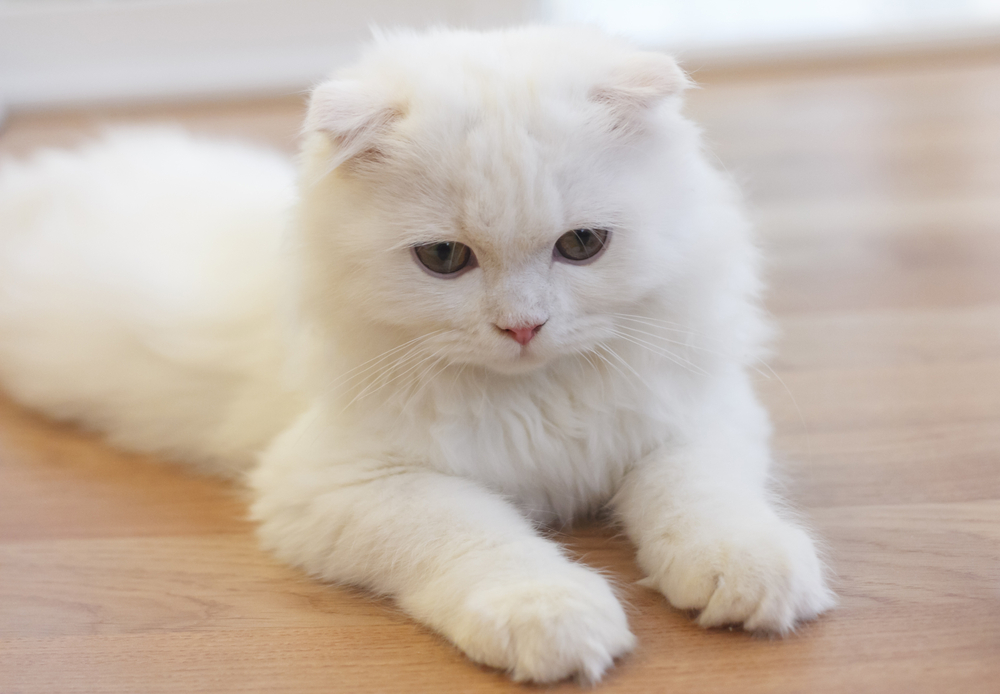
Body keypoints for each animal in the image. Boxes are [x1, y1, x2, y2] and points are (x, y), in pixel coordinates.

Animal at [0, 25, 832, 684]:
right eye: (443, 259)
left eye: (582, 246)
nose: (523, 327)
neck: (535, 397)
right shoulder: (343, 484)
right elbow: (478, 538)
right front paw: (549, 614)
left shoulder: (696, 417)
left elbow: (704, 499)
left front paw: (751, 571)